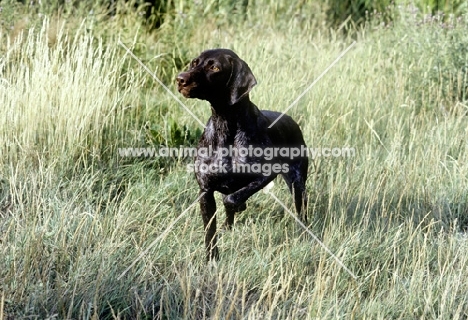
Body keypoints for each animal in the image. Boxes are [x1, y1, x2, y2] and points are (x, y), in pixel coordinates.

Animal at [176, 49, 308, 260]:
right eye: (194, 63)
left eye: (215, 68)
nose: (180, 79)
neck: (226, 125)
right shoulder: (205, 191)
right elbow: (210, 232)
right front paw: (211, 259)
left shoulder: (265, 174)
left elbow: (231, 199)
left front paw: (238, 205)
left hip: (298, 184)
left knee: (301, 212)